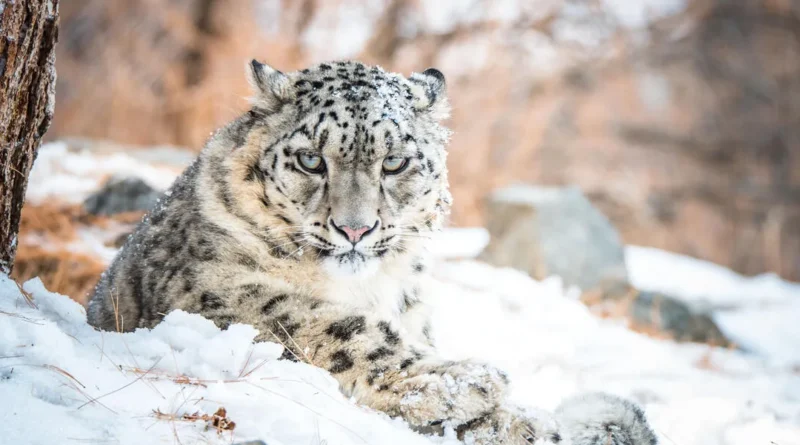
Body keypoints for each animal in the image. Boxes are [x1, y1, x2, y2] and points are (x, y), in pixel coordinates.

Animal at [87, 60, 657, 445]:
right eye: (311, 159)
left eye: (395, 161)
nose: (355, 229)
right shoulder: (209, 289)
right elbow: (325, 324)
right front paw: (466, 380)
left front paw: (513, 417)